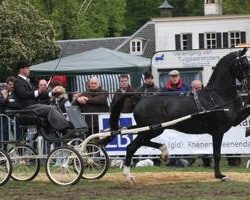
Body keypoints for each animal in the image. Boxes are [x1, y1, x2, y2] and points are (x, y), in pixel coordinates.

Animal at [108, 48, 250, 181]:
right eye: (243, 64)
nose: (247, 85)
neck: (217, 96)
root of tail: (139, 99)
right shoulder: (218, 131)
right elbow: (217, 154)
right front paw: (220, 176)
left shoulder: (235, 121)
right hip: (153, 129)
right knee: (131, 147)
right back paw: (128, 175)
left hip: (152, 130)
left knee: (142, 143)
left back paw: (164, 152)